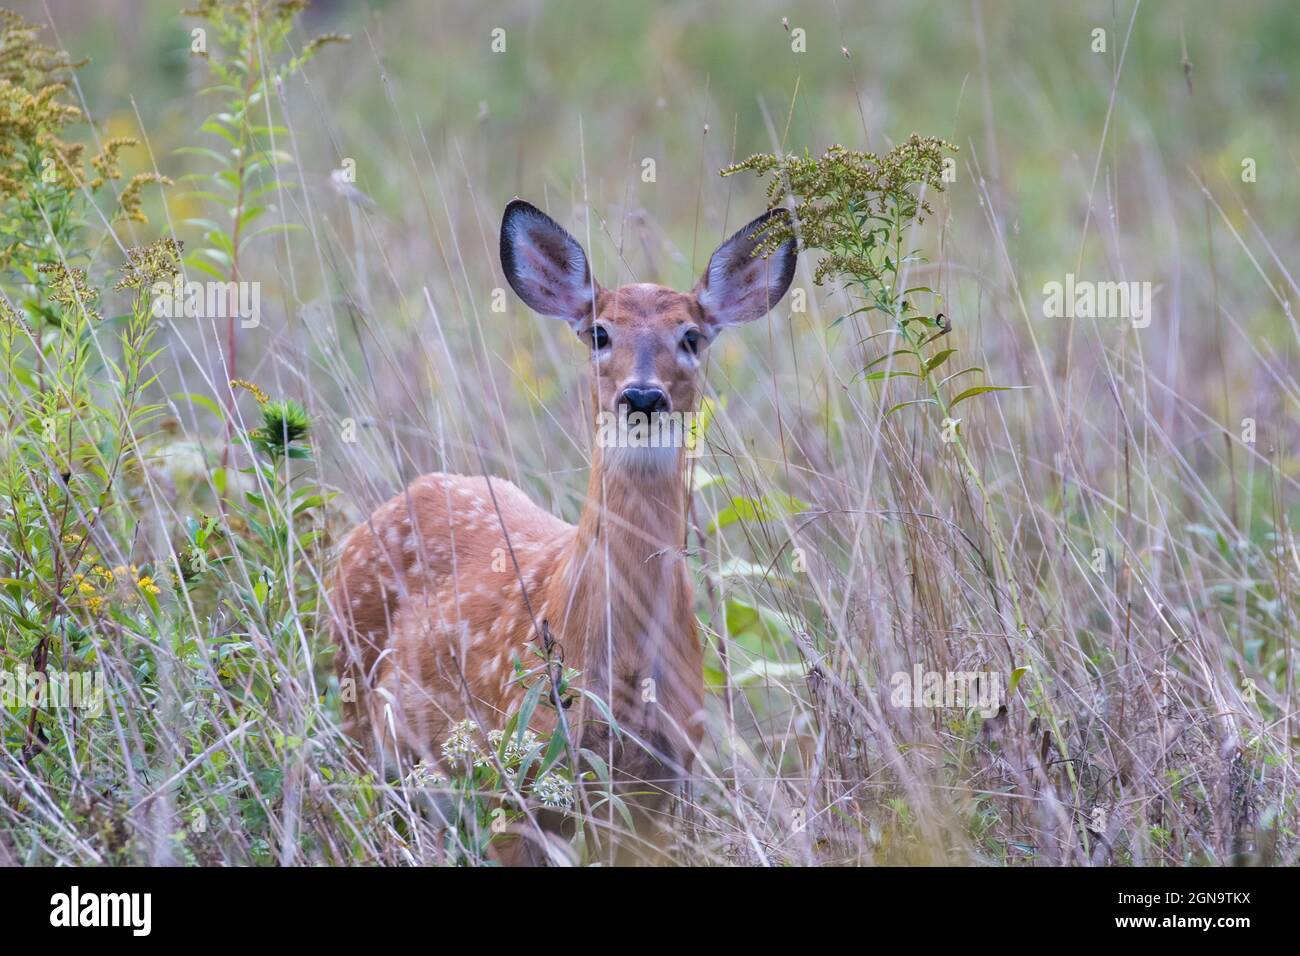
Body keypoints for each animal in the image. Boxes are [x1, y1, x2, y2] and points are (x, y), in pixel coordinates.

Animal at [329, 198, 796, 861]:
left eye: (691, 336)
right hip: (355, 706)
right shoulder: (515, 770)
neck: (622, 662)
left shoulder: (664, 781)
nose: (642, 396)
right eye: (600, 333)